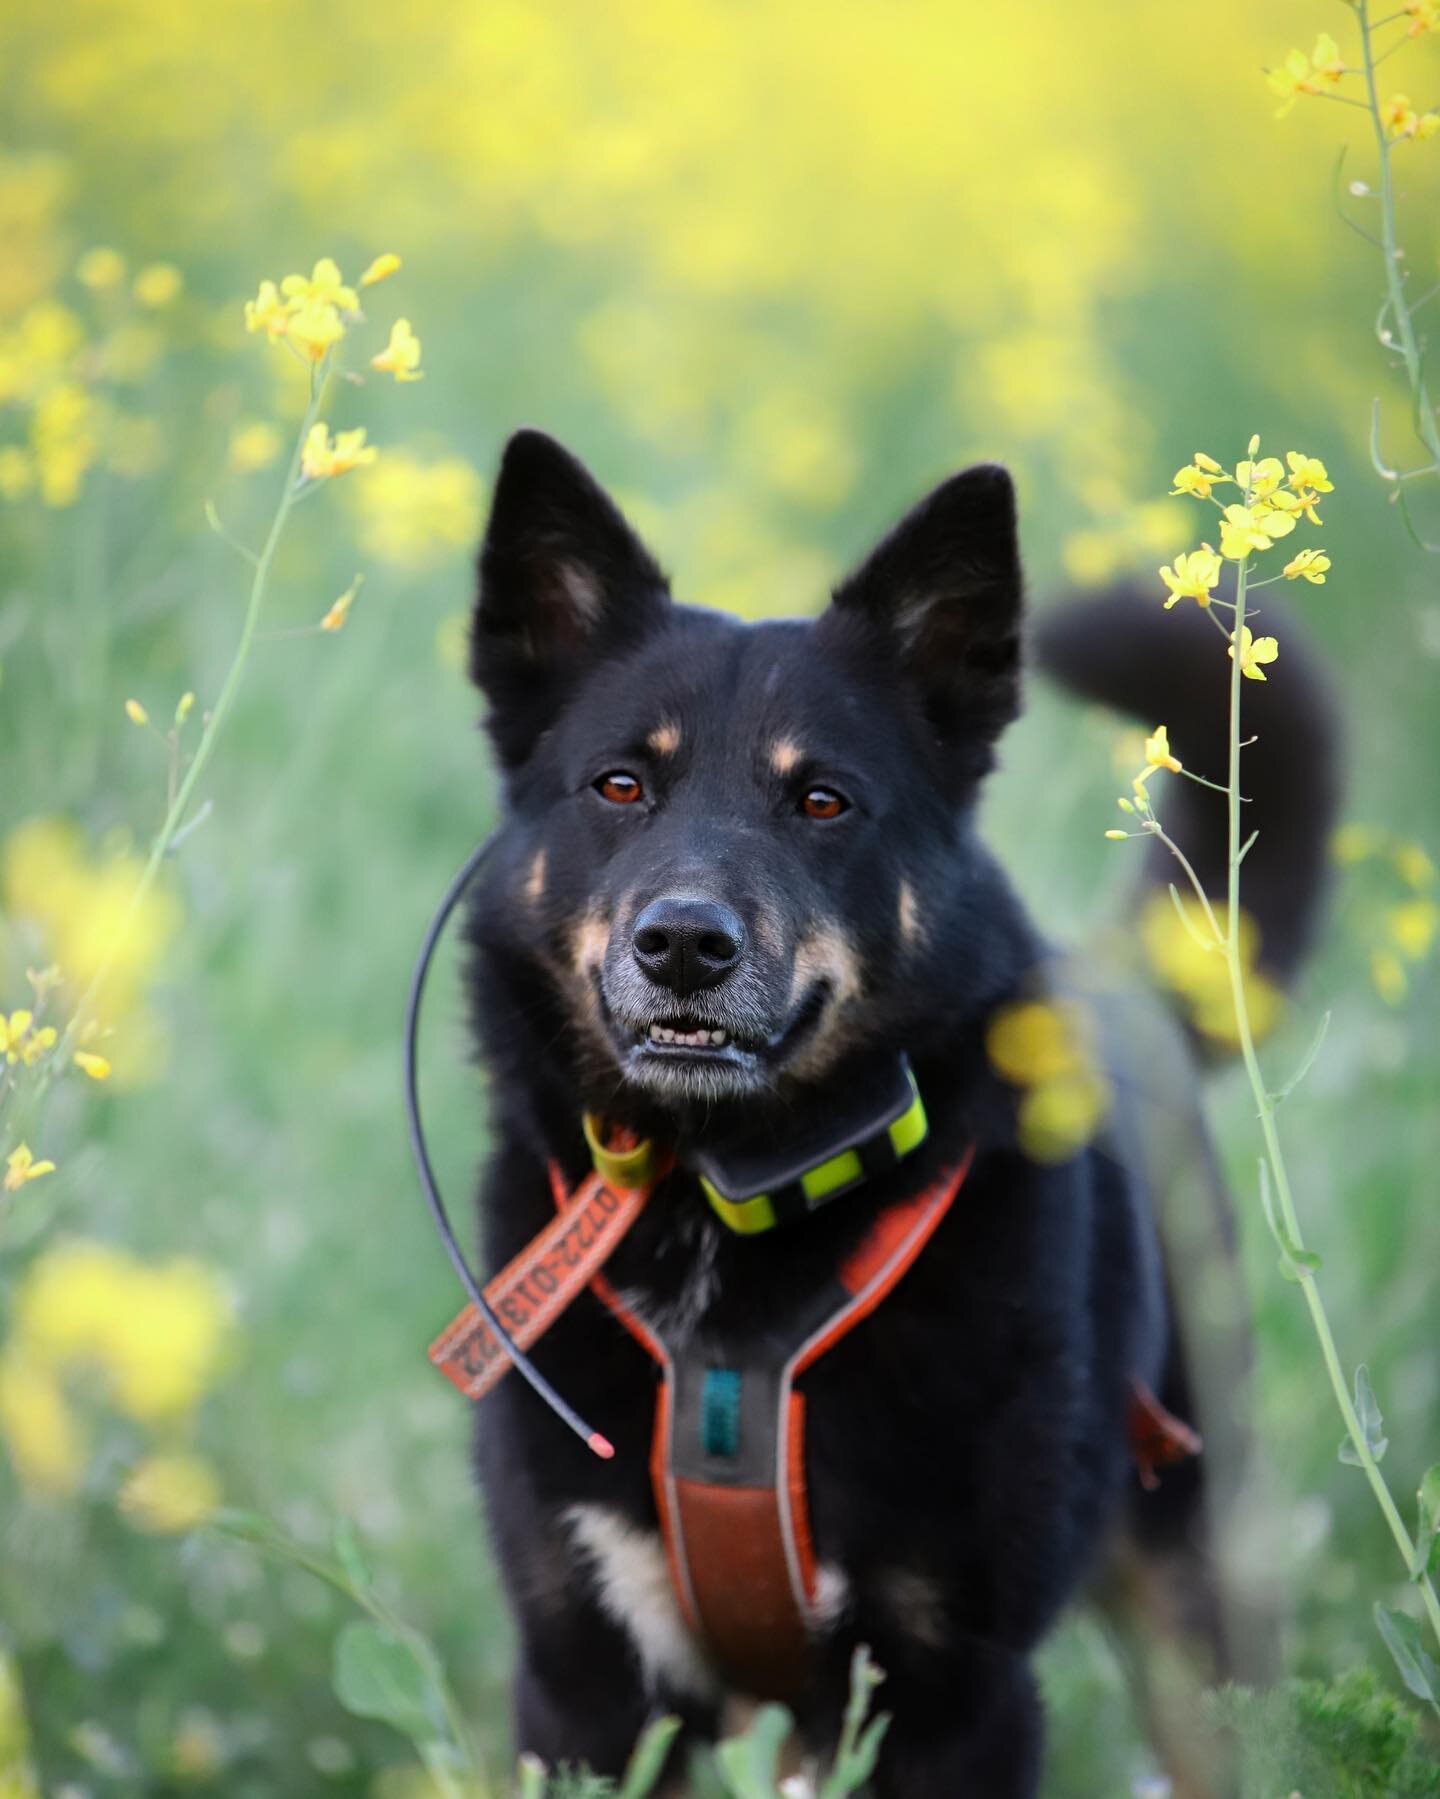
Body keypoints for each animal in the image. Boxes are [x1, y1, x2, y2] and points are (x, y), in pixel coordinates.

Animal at [460, 428, 1339, 1791]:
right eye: (619, 785)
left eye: (821, 800)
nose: (684, 945)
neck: (729, 1228)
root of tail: (1131, 975)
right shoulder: (587, 1682)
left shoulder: (952, 1693)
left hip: (1194, 1616)